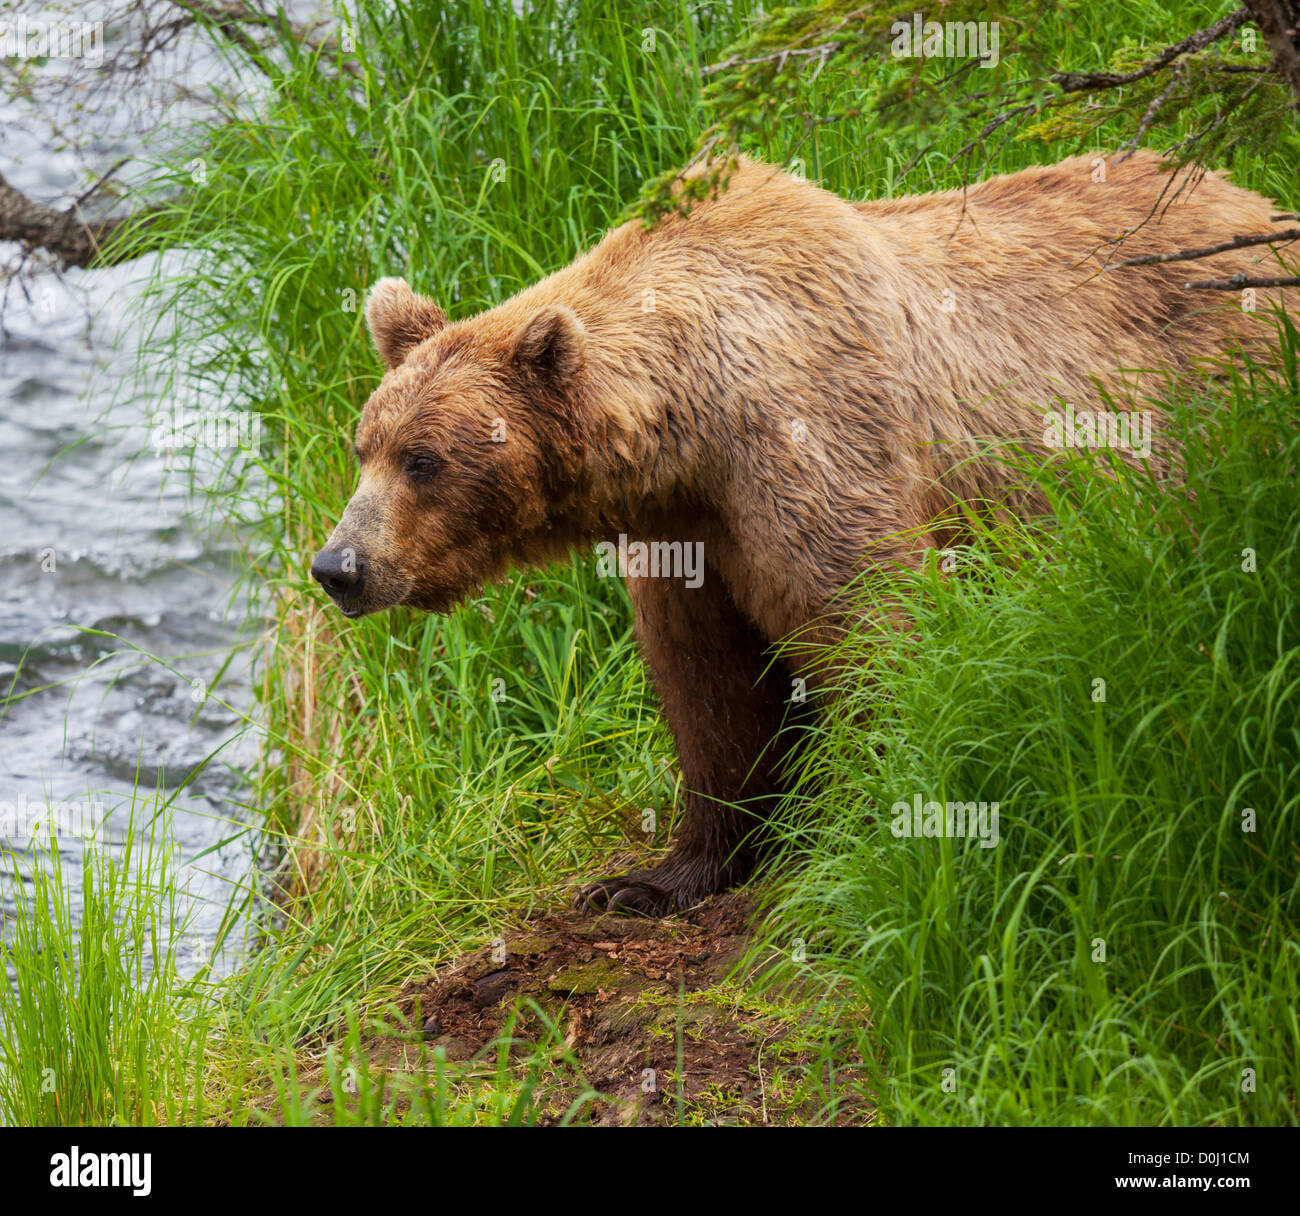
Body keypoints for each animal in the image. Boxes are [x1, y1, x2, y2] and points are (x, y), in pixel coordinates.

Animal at [312, 151, 1295, 916]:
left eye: (424, 460)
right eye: (364, 446)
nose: (338, 565)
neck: (691, 432)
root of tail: (1257, 201)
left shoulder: (809, 446)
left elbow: (868, 622)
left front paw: (871, 826)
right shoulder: (686, 539)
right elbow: (708, 690)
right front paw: (657, 876)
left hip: (1219, 398)